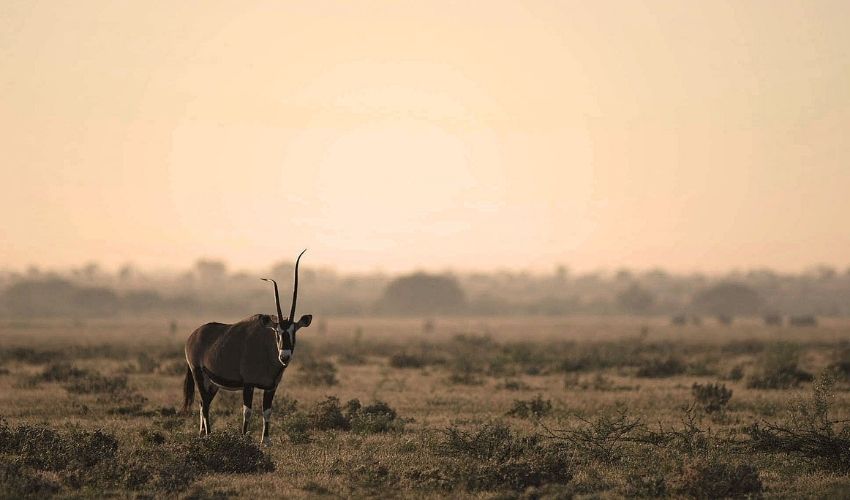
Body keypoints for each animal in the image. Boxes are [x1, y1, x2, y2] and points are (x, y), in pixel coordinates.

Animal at [182, 249, 312, 442]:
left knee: (201, 403)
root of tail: (193, 336)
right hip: (198, 374)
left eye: (293, 331)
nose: (284, 356)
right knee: (204, 405)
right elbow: (247, 412)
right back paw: (209, 435)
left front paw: (266, 441)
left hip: (212, 383)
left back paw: (201, 434)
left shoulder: (271, 387)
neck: (267, 350)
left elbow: (267, 411)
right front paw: (244, 438)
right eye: (277, 332)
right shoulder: (248, 384)